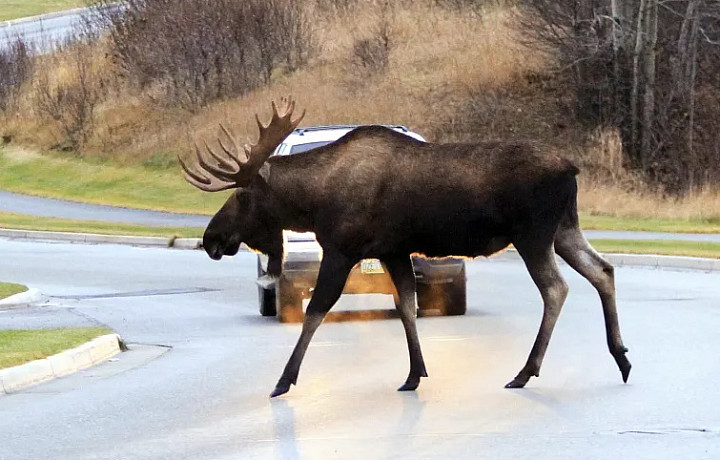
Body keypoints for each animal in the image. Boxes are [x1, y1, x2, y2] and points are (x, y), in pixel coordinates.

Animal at [179, 98, 632, 398]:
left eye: (242, 197)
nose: (211, 238)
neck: (314, 202)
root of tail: (571, 169)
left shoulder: (342, 249)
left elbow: (316, 311)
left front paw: (283, 381)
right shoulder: (393, 250)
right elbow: (407, 306)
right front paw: (415, 374)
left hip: (533, 234)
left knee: (556, 288)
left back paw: (526, 371)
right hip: (565, 228)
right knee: (603, 269)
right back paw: (622, 357)